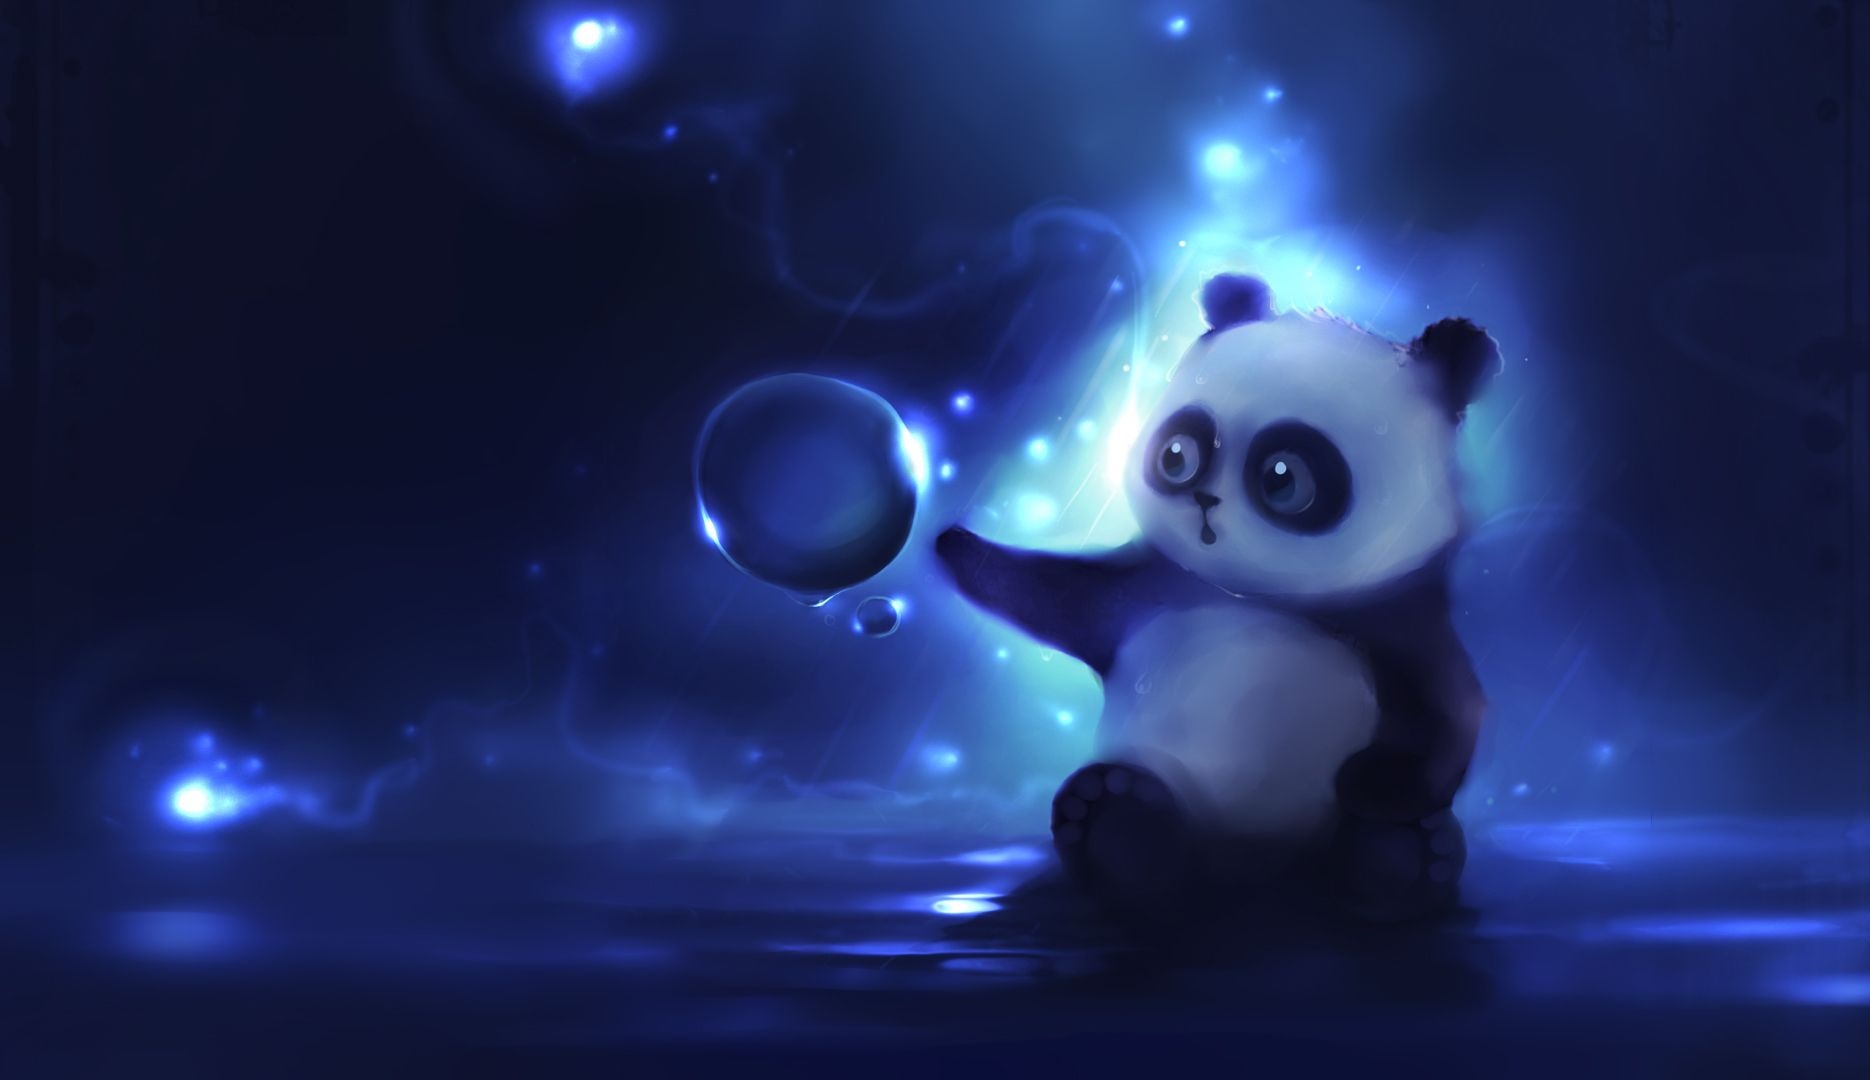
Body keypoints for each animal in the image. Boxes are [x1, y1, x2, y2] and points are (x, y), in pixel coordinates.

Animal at [935, 272, 1498, 920]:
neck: (1251, 597)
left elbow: (1452, 705)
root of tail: (1243, 873)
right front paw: (956, 545)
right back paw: (1117, 829)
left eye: (1284, 477)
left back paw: (1404, 859)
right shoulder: (1147, 591)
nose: (1204, 500)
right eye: (1177, 454)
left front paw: (1376, 785)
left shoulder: (1396, 620)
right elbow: (1053, 593)